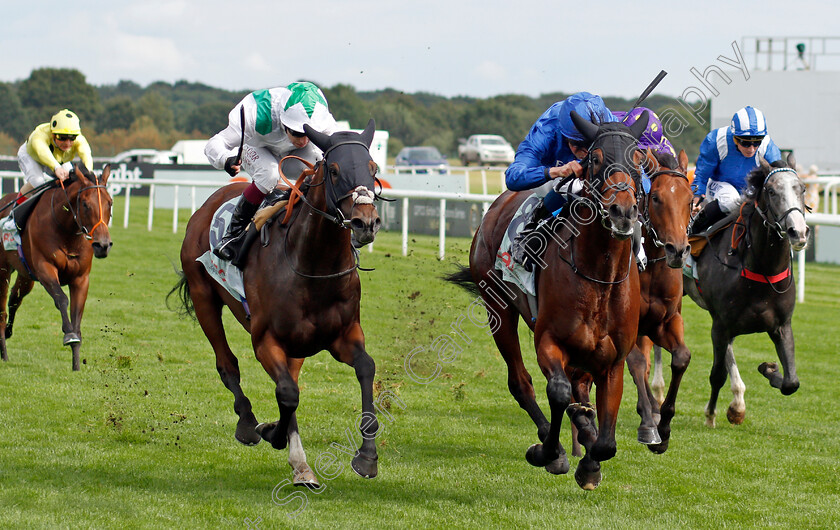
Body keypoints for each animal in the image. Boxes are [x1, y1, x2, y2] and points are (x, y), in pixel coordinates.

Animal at [0, 163, 112, 370]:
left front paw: (76, 364)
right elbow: (61, 299)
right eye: (85, 204)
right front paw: (69, 335)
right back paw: (4, 353)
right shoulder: (45, 269)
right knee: (2, 312)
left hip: (25, 275)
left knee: (14, 299)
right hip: (3, 271)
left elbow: (77, 315)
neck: (67, 232)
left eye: (110, 202)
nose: (103, 245)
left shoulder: (80, 279)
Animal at [171, 118, 384, 482]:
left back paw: (299, 463)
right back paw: (248, 424)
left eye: (373, 169)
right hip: (204, 299)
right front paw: (270, 432)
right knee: (228, 364)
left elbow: (365, 368)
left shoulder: (344, 336)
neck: (313, 264)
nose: (365, 222)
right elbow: (286, 393)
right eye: (335, 171)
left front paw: (367, 455)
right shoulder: (266, 340)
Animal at [450, 110, 648, 486]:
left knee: (578, 388)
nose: (622, 212)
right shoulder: (549, 339)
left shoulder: (613, 360)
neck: (601, 278)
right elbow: (556, 391)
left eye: (640, 160)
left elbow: (607, 442)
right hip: (497, 308)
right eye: (594, 159)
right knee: (521, 381)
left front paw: (590, 462)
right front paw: (548, 452)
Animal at [684, 155, 812, 426]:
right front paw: (710, 415)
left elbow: (791, 382)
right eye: (772, 191)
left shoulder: (781, 325)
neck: (761, 269)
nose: (798, 231)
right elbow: (717, 375)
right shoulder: (720, 325)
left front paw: (769, 369)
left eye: (802, 188)